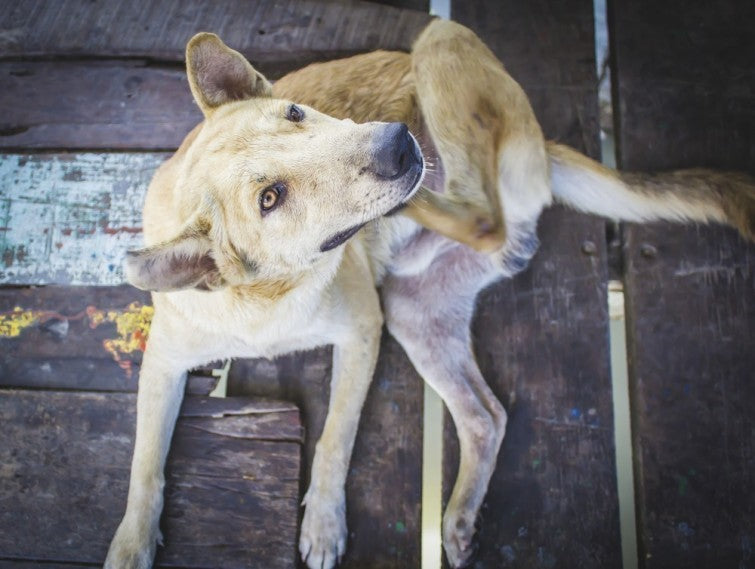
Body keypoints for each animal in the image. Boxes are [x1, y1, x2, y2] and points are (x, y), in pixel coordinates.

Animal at [106, 20, 755, 568]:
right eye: (271, 198)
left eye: (296, 111)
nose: (397, 144)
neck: (269, 297)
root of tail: (542, 148)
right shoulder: (164, 364)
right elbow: (144, 462)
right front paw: (131, 544)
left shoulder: (361, 333)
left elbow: (335, 437)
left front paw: (323, 523)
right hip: (416, 314)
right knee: (486, 415)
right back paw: (461, 518)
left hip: (436, 42)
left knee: (482, 215)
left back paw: (421, 198)